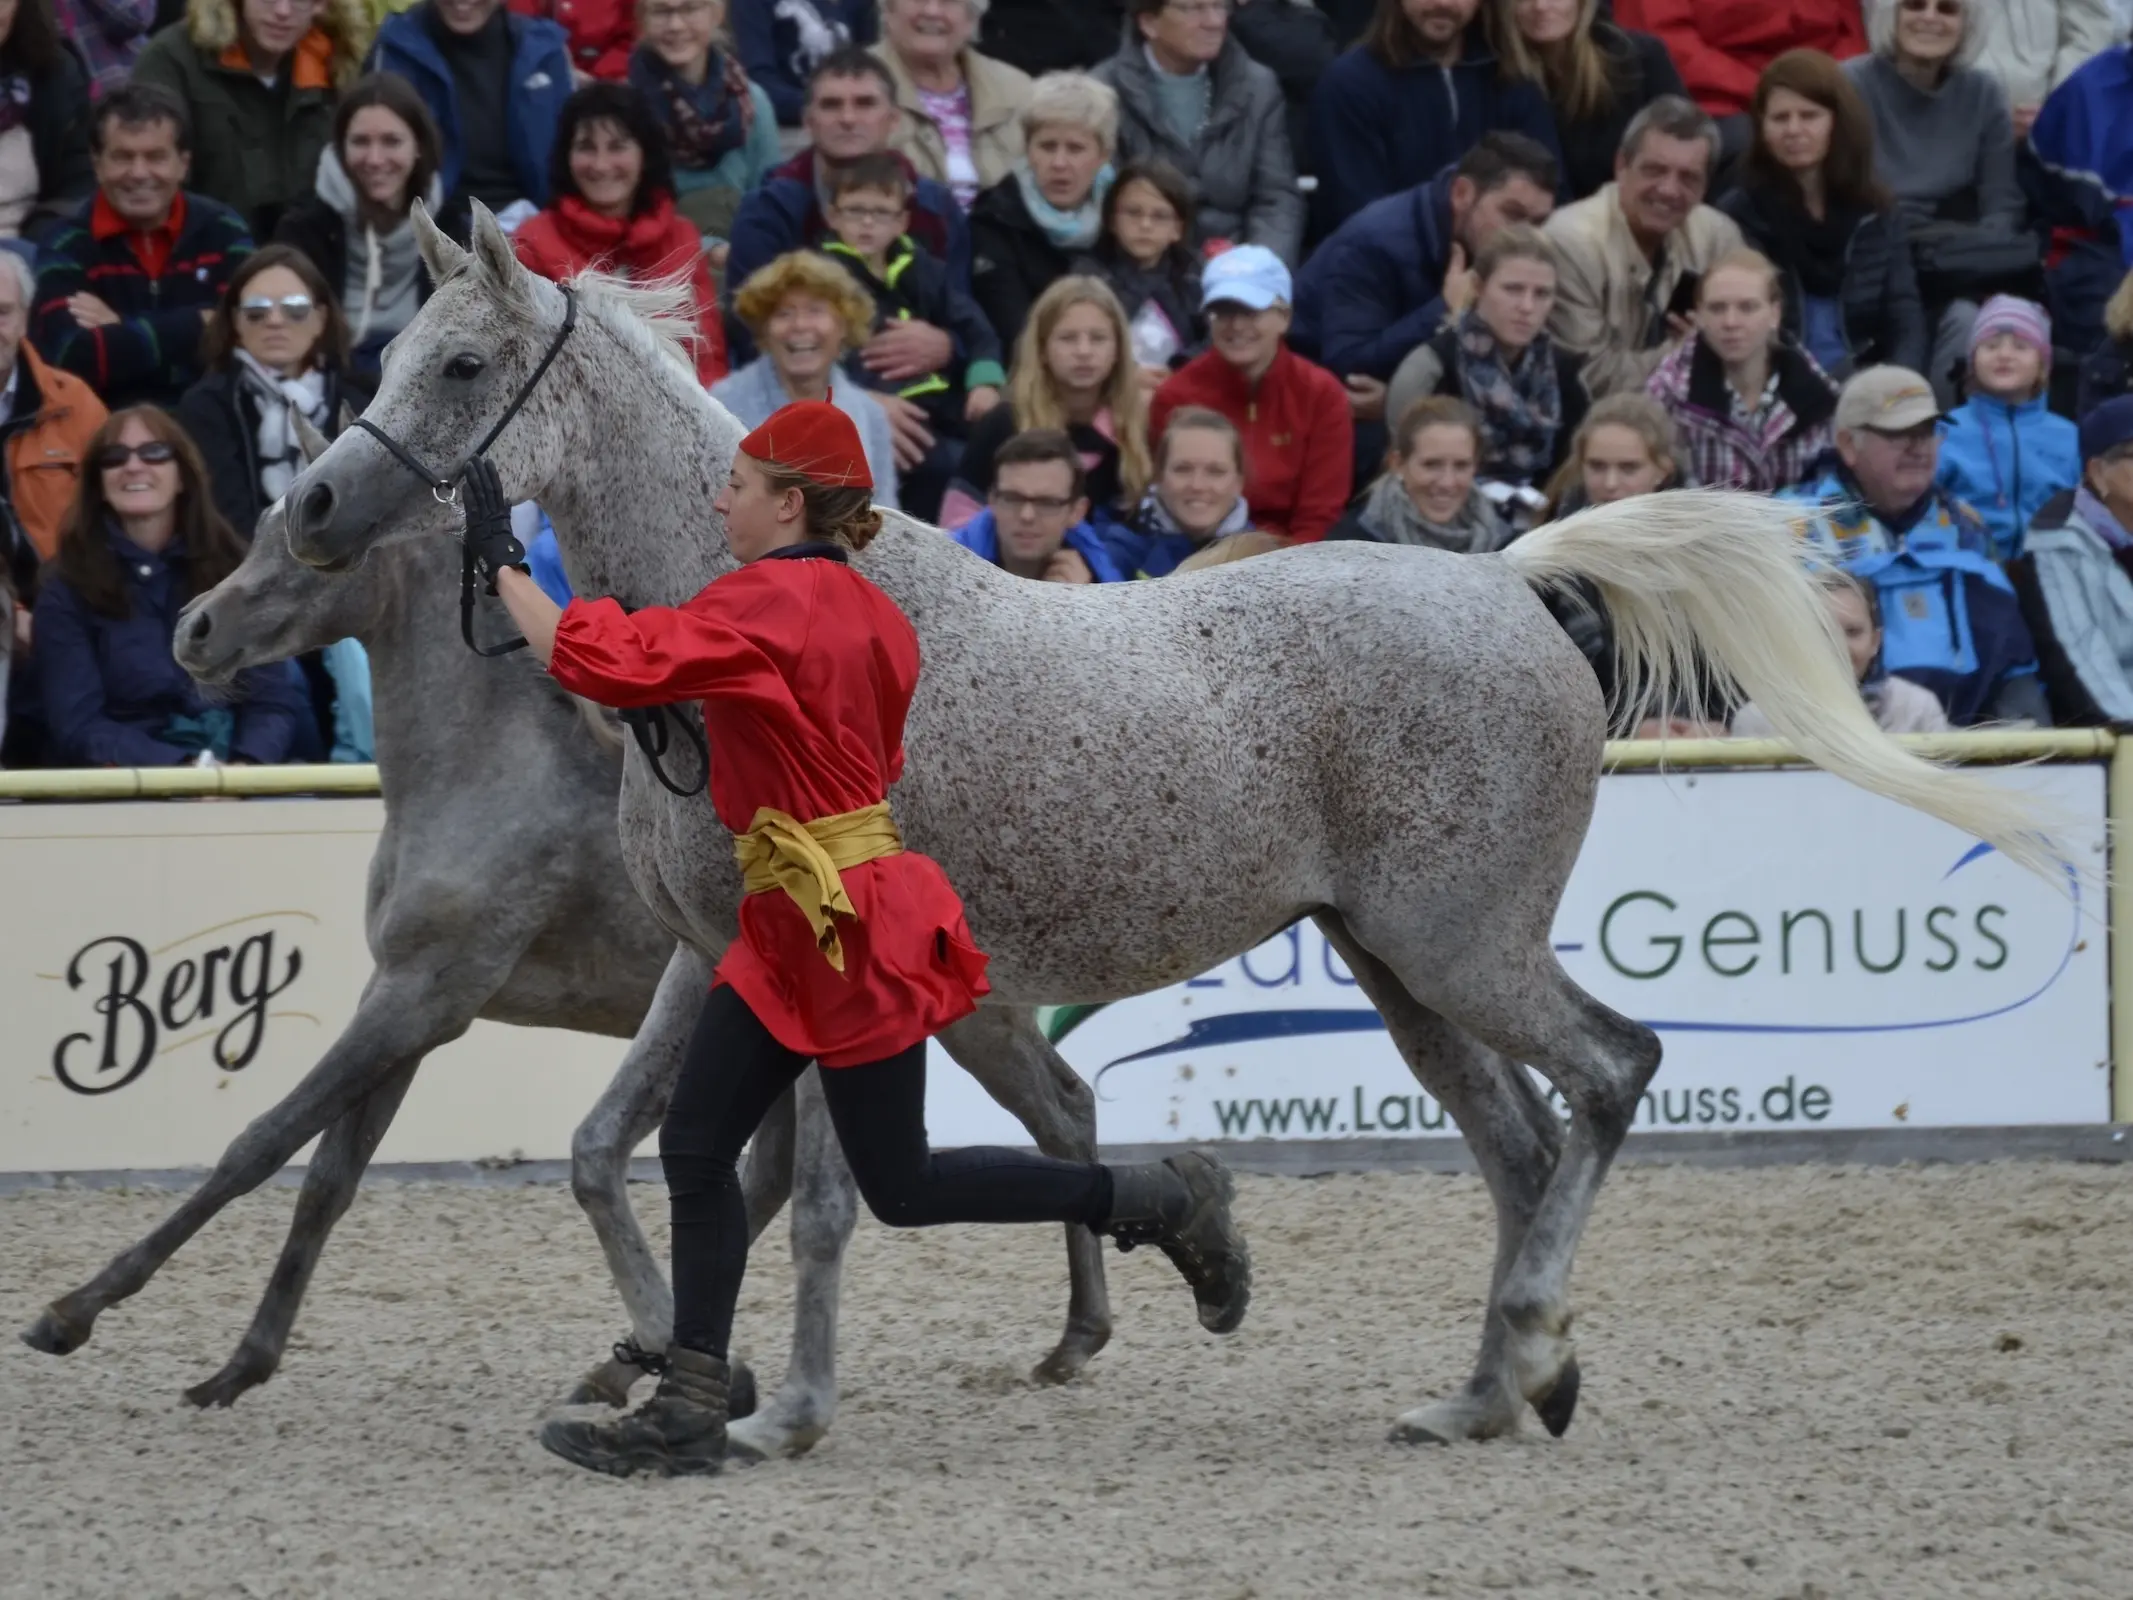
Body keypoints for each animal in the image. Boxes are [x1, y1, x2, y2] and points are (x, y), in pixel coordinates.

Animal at [20, 494, 1117, 1459]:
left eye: (309, 540)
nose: (193, 630)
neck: (492, 767)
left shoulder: (423, 995)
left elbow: (258, 1145)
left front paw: (71, 1313)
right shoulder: (412, 1007)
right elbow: (327, 1181)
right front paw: (238, 1365)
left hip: (963, 1022)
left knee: (1061, 1112)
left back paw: (1075, 1337)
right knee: (805, 1167)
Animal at [275, 206, 2073, 1450]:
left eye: (457, 365)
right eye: (381, 351)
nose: (308, 506)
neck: (748, 638)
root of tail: (1509, 580)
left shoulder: (821, 983)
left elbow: (820, 1197)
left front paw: (776, 1409)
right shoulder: (730, 970)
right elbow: (709, 1171)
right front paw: (682, 1379)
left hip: (1459, 945)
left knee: (1612, 1078)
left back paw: (1535, 1349)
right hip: (1398, 965)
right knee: (1519, 1141)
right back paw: (1475, 1398)